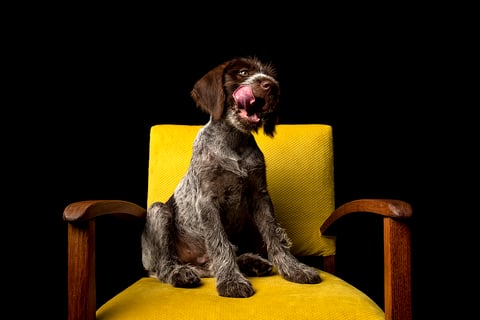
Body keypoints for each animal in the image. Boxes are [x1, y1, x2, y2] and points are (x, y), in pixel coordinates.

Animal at [142, 55, 322, 298]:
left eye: (269, 75)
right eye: (243, 72)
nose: (272, 86)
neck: (233, 141)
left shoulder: (260, 197)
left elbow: (274, 236)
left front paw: (294, 269)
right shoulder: (207, 202)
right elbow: (220, 243)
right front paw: (231, 280)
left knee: (212, 264)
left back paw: (251, 262)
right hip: (158, 212)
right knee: (164, 266)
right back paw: (180, 273)